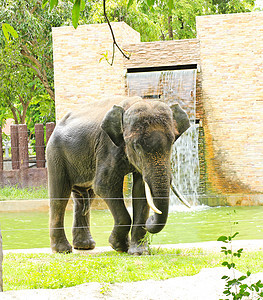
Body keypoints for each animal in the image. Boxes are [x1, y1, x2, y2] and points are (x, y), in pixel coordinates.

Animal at [47, 96, 191, 255]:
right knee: (59, 197)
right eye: (136, 146)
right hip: (55, 154)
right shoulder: (107, 146)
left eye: (171, 144)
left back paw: (85, 246)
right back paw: (62, 250)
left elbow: (141, 191)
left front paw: (138, 252)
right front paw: (118, 246)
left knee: (84, 198)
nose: (150, 221)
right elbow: (104, 186)